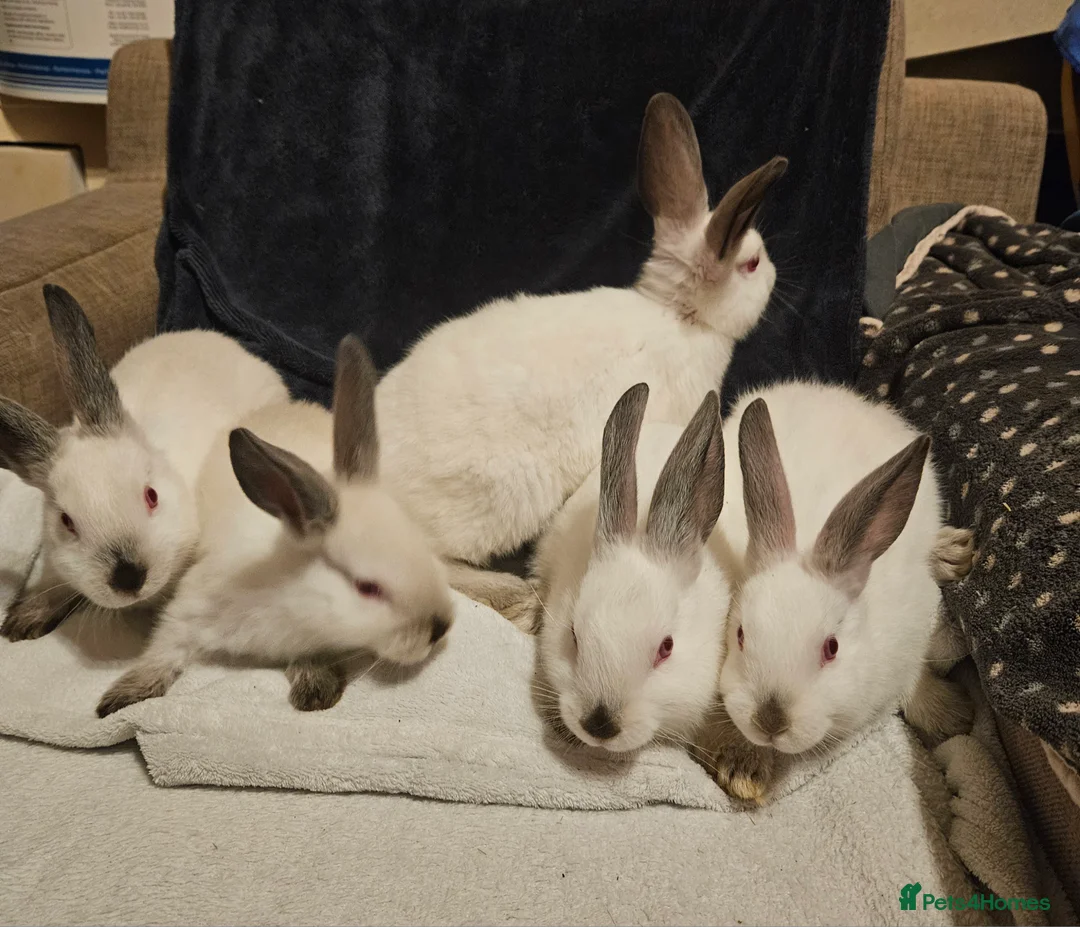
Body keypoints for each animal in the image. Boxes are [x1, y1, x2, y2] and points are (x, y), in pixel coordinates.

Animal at [96, 335, 454, 718]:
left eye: (426, 552)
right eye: (367, 588)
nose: (441, 627)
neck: (288, 594)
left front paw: (315, 688)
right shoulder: (192, 608)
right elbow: (165, 646)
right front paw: (121, 696)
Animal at [703, 381, 975, 804]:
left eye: (831, 648)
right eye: (741, 635)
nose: (771, 720)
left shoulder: (911, 639)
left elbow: (914, 683)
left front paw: (952, 715)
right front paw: (742, 769)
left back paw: (951, 553)